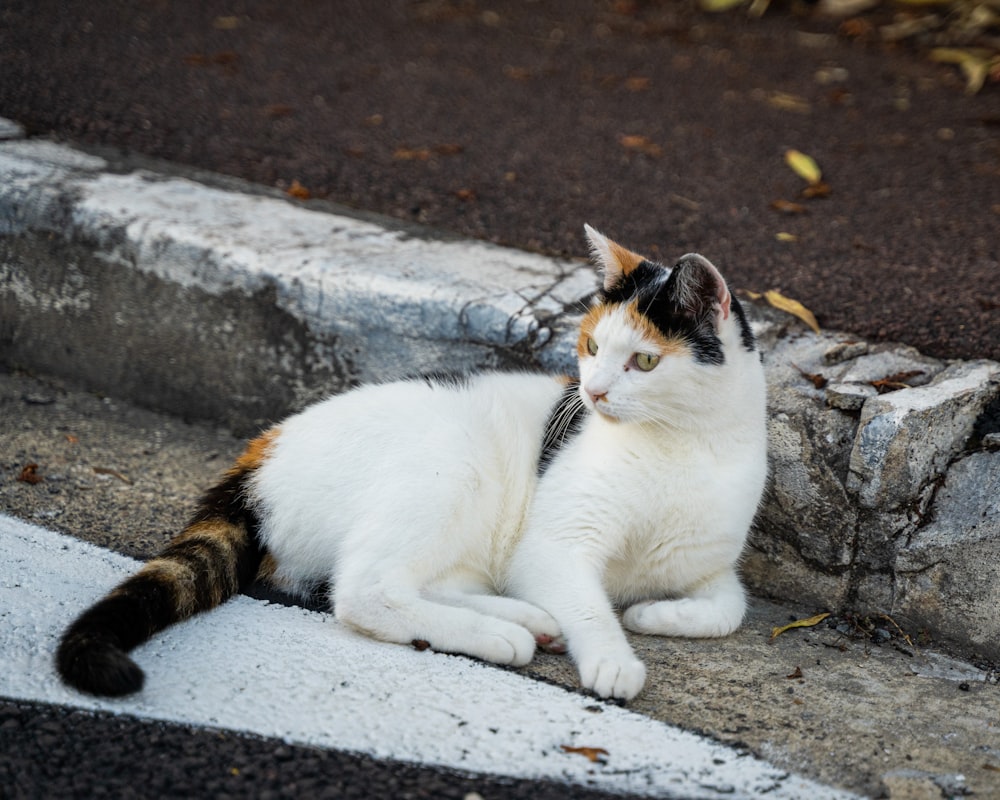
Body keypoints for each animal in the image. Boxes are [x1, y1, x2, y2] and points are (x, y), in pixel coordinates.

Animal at [56, 225, 764, 700]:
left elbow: (731, 608)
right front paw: (614, 658)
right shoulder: (553, 547)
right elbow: (589, 605)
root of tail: (260, 455)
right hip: (448, 465)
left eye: (644, 360)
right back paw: (502, 635)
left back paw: (528, 619)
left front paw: (651, 615)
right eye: (591, 347)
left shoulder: (711, 568)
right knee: (363, 590)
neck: (680, 447)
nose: (592, 392)